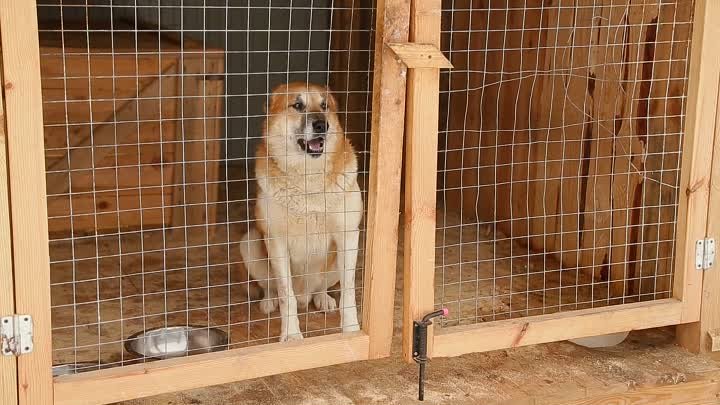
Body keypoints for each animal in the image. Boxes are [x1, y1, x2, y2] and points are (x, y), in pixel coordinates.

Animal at [240, 82, 362, 340]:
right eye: (297, 105)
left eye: (324, 106)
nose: (322, 125)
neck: (308, 177)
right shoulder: (276, 240)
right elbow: (286, 296)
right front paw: (291, 336)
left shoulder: (348, 235)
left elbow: (348, 291)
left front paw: (351, 331)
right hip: (249, 242)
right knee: (272, 288)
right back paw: (268, 302)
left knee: (321, 288)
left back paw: (322, 299)